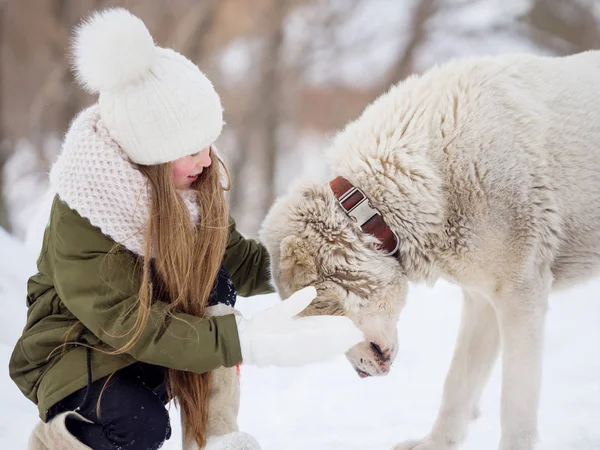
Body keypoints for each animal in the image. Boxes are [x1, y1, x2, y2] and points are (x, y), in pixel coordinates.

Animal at [258, 51, 600, 448]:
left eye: (315, 316)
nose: (361, 376)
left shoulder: (522, 297)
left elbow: (515, 405)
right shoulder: (482, 301)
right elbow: (457, 385)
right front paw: (434, 444)